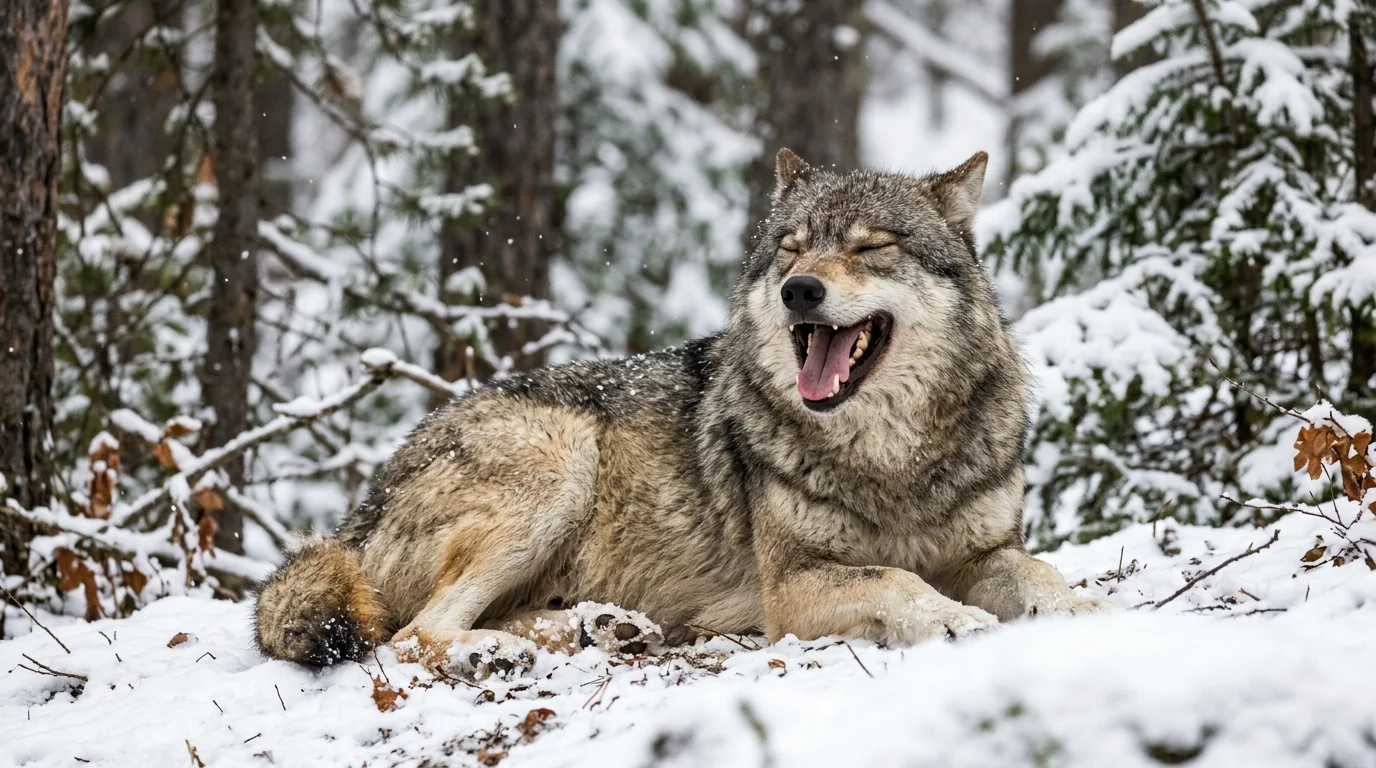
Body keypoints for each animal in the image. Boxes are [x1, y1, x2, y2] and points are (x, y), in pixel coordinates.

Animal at [254, 149, 1112, 677]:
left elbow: (1038, 569)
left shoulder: (985, 551)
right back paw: (511, 649)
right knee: (411, 634)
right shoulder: (791, 589)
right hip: (557, 467)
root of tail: (355, 515)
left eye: (871, 248)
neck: (890, 455)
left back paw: (595, 627)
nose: (800, 289)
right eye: (791, 248)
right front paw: (956, 621)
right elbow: (896, 577)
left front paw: (1084, 608)